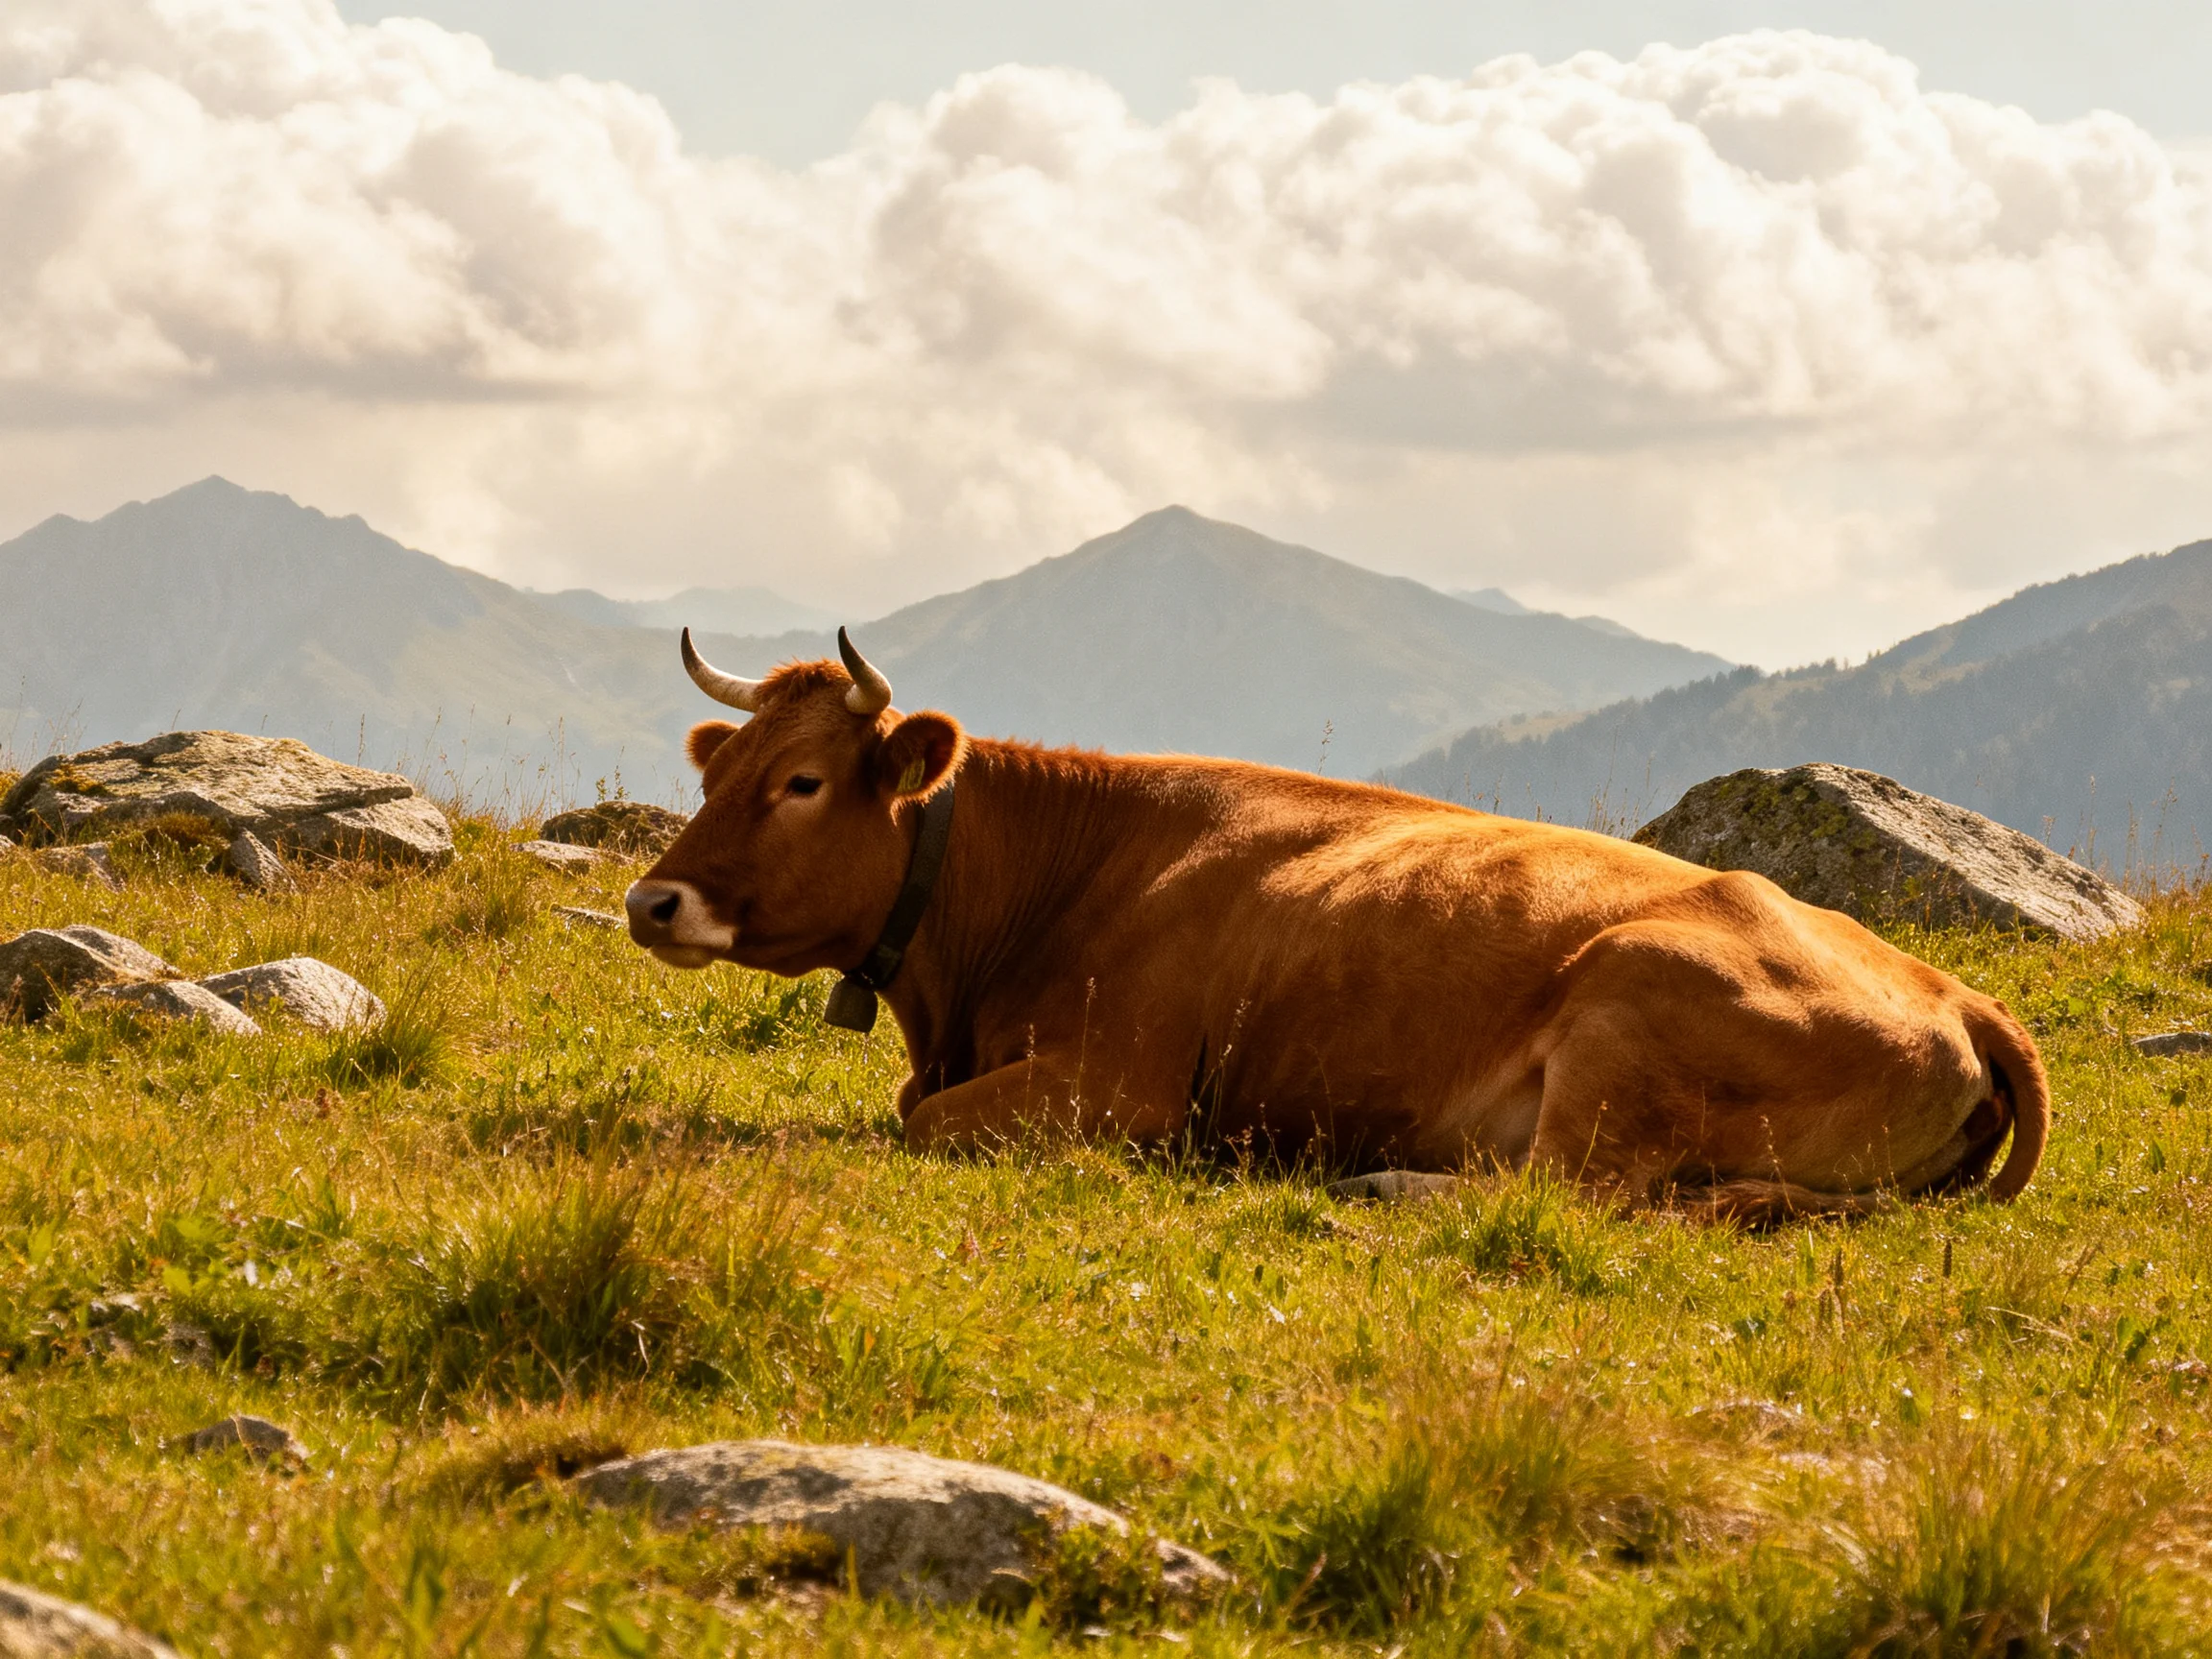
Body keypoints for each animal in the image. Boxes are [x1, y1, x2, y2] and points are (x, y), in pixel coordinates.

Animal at [626, 629, 2048, 1221]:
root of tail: (1962, 994)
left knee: (1577, 1190)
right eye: (716, 767)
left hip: (1628, 1010)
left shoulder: (1123, 1084)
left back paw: (1382, 1179)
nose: (650, 898)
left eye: (803, 781)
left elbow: (916, 1123)